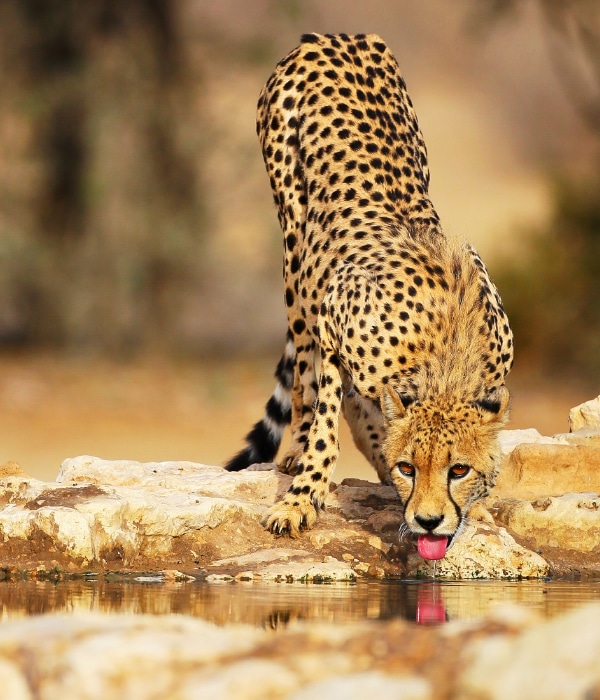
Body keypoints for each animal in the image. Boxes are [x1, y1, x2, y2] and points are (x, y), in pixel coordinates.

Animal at [225, 32, 510, 560]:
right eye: (409, 468)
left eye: (458, 469)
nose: (428, 521)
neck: (443, 360)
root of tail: (334, 36)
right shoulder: (333, 328)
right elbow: (325, 424)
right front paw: (301, 499)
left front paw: (477, 508)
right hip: (296, 244)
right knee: (304, 378)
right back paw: (296, 451)